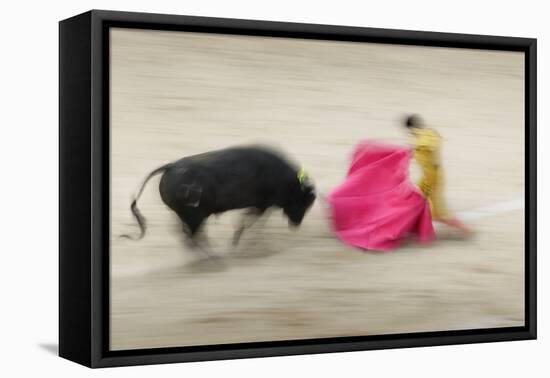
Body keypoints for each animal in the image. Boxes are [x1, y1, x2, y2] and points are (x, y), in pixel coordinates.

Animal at [122, 145, 316, 248]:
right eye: (304, 202)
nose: (296, 224)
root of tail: (170, 166)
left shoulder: (262, 205)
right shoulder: (263, 204)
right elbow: (249, 221)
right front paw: (239, 241)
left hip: (186, 215)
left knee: (186, 234)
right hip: (195, 216)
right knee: (192, 236)